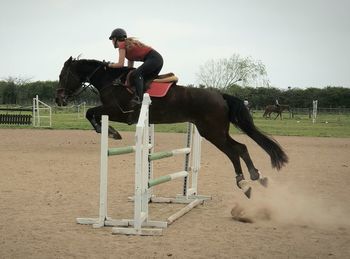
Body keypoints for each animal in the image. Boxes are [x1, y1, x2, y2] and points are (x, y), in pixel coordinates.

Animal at [56, 57, 288, 199]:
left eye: (62, 75)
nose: (59, 100)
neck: (111, 80)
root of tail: (220, 95)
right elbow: (90, 113)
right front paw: (109, 131)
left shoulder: (116, 110)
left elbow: (90, 112)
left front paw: (111, 132)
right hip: (215, 131)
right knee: (240, 148)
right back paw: (252, 178)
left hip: (212, 132)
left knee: (234, 150)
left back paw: (246, 180)